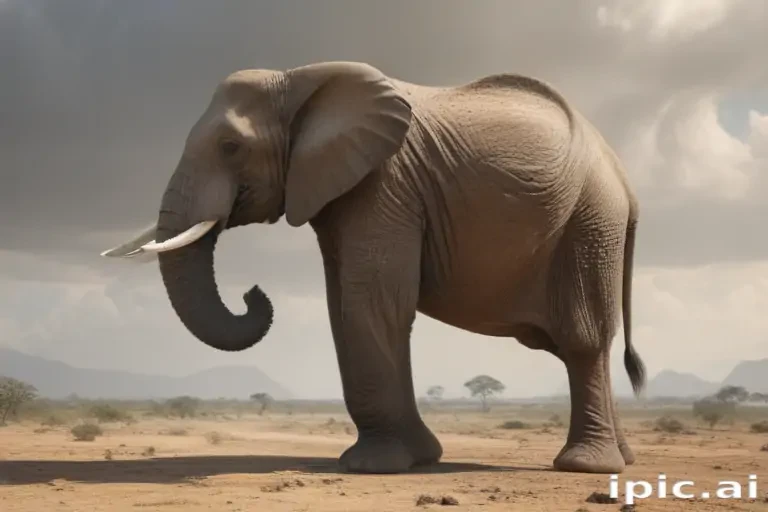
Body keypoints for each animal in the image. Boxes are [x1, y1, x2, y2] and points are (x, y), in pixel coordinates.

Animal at [101, 61, 645, 475]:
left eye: (230, 147)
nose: (253, 294)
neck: (298, 80)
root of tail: (625, 179)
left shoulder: (387, 181)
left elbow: (373, 300)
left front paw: (372, 466)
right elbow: (342, 305)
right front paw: (418, 459)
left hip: (590, 221)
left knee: (582, 339)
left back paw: (586, 466)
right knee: (586, 344)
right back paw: (624, 459)